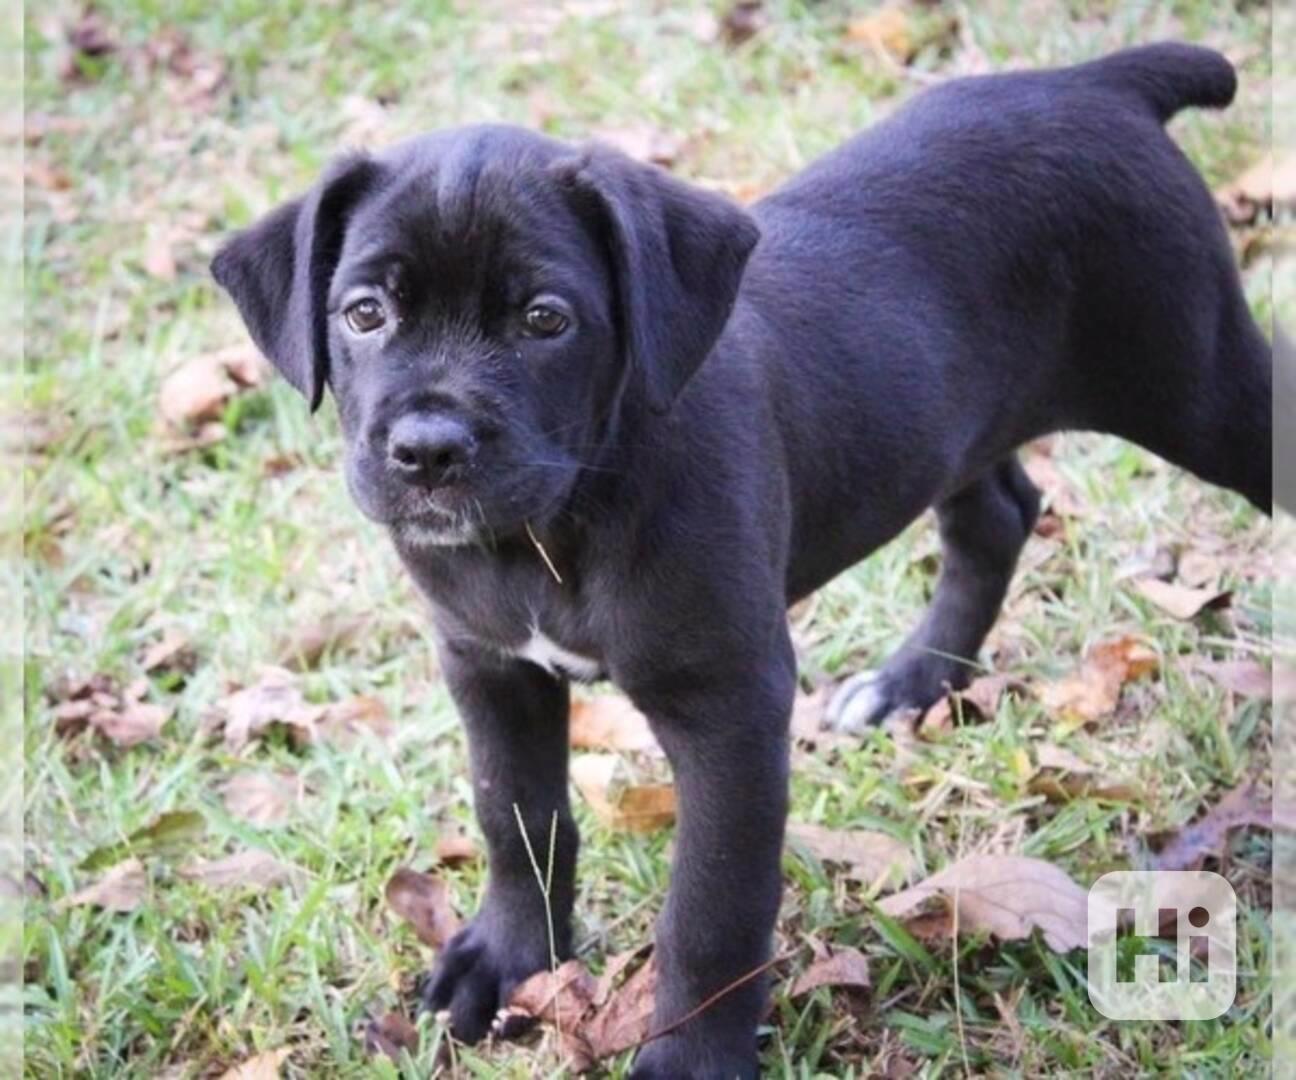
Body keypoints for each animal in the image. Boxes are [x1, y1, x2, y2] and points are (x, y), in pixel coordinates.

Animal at [217, 44, 1270, 1078]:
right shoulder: (489, 666)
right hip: (955, 417)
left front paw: (688, 1060)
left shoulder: (729, 706)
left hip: (1200, 385)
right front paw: (511, 959)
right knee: (997, 516)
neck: (557, 521)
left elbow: (712, 909)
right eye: (364, 314)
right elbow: (516, 817)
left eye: (545, 320)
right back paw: (913, 682)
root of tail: (1098, 81)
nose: (429, 450)